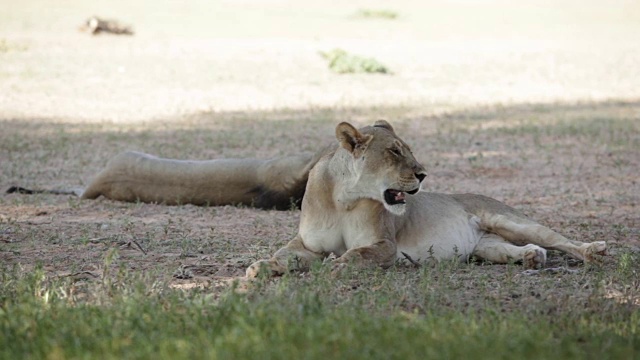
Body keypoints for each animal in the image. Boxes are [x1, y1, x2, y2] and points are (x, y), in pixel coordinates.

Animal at [79, 119, 604, 274]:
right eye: (395, 151)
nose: (424, 174)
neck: (343, 197)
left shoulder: (386, 246)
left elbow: (354, 256)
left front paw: (336, 268)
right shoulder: (305, 244)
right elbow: (282, 255)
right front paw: (260, 269)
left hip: (507, 217)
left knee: (558, 238)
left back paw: (593, 250)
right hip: (486, 247)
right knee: (518, 250)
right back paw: (531, 259)